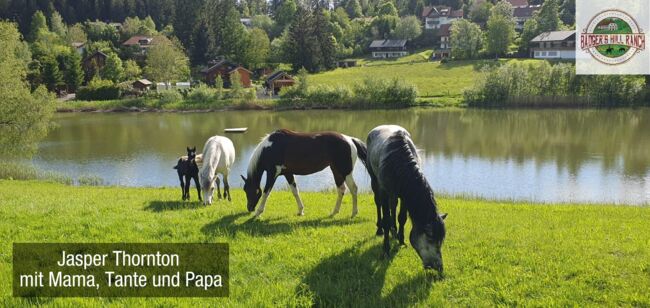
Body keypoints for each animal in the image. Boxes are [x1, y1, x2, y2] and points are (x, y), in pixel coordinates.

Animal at [364, 124, 446, 272]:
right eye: (430, 238)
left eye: (441, 240)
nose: (438, 267)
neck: (398, 160)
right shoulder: (385, 191)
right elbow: (386, 218)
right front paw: (386, 249)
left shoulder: (405, 196)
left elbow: (402, 217)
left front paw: (401, 240)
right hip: (375, 182)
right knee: (378, 204)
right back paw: (380, 229)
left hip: (394, 193)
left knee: (393, 205)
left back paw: (394, 231)